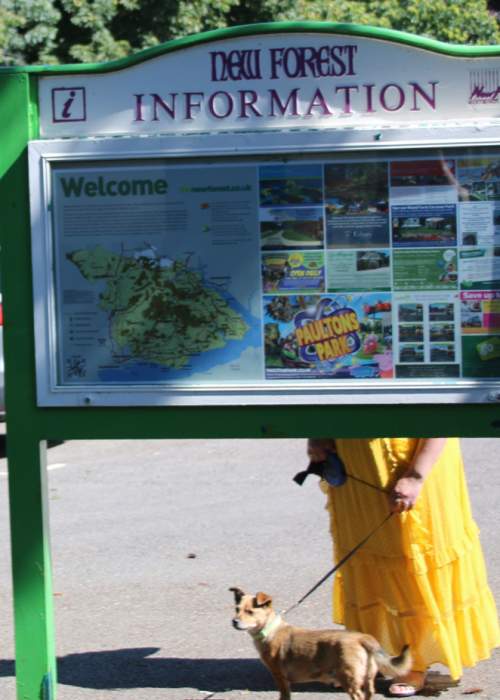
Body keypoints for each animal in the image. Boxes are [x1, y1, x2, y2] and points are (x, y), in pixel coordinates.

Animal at [229, 588, 410, 696]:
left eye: (250, 612)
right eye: (237, 609)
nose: (234, 622)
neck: (270, 629)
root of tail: (362, 638)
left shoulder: (281, 678)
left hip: (349, 679)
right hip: (368, 679)